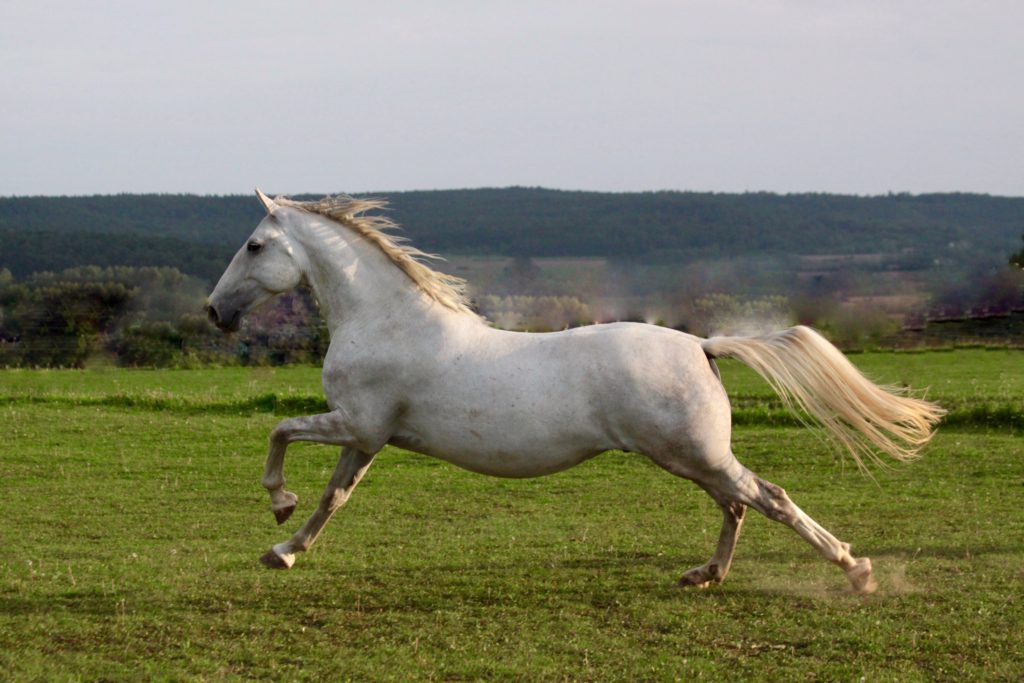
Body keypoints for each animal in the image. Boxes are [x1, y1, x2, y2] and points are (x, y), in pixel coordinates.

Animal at [206, 189, 944, 593]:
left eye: (254, 245)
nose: (215, 312)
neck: (388, 320)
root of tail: (703, 345)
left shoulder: (355, 423)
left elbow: (280, 434)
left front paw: (277, 506)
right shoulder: (367, 437)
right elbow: (334, 498)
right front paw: (284, 550)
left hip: (692, 452)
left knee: (769, 497)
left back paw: (855, 570)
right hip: (693, 457)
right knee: (739, 504)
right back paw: (705, 575)